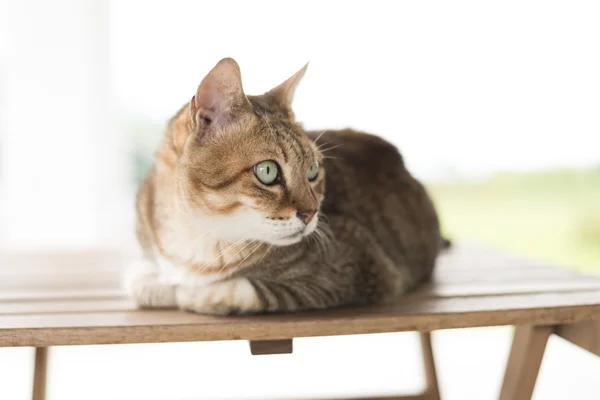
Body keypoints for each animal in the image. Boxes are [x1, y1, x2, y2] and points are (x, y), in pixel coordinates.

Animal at [127, 58, 446, 316]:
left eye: (313, 170)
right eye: (267, 171)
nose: (312, 213)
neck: (196, 238)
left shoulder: (359, 266)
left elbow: (241, 290)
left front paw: (189, 292)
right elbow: (140, 281)